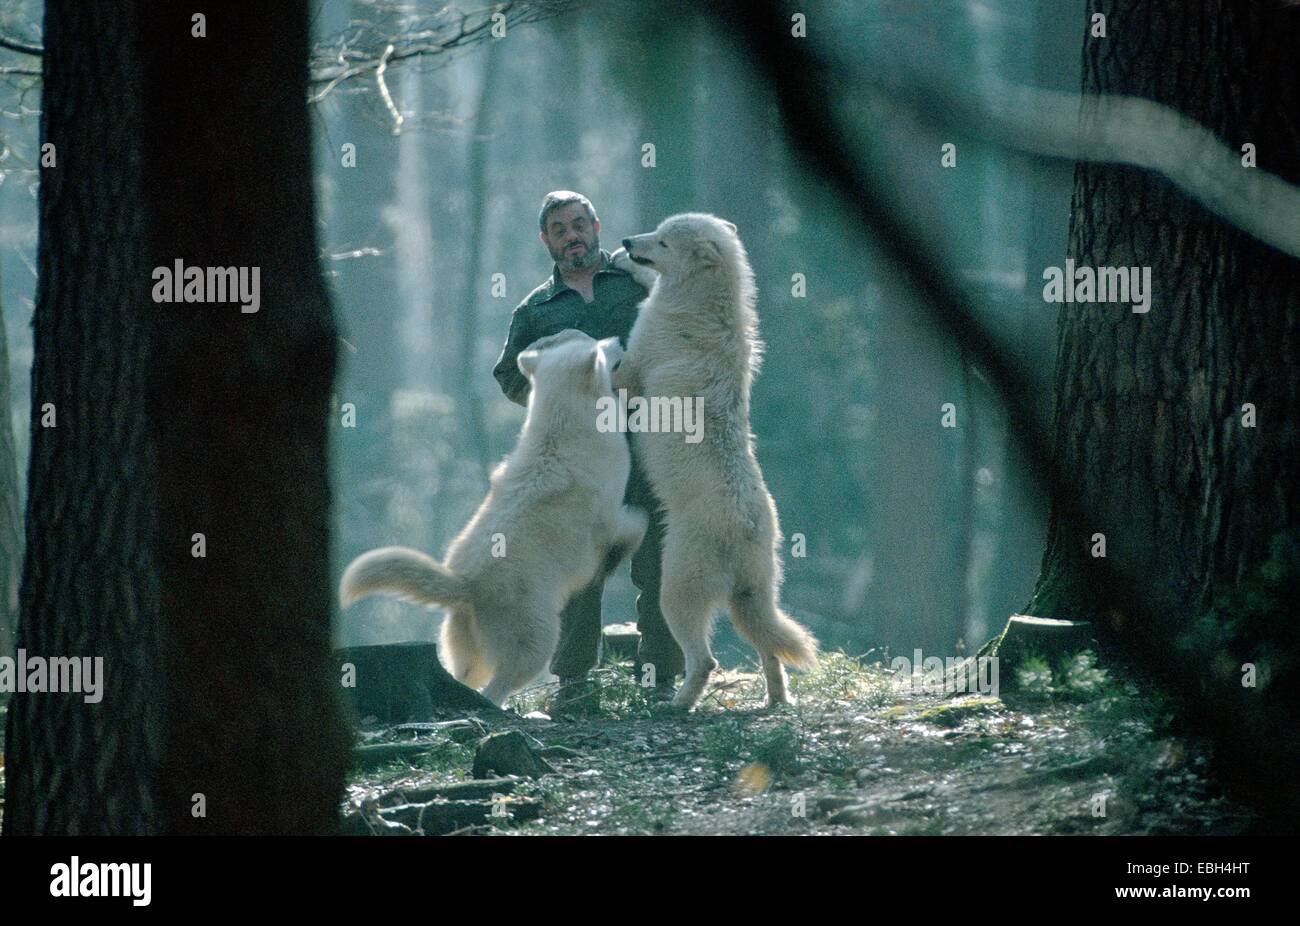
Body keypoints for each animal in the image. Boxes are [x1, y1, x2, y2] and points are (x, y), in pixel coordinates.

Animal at [335, 332, 639, 707]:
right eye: (598, 347)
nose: (617, 339)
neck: (564, 423)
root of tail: (464, 582)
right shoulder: (608, 519)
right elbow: (632, 526)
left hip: (467, 656)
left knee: (468, 682)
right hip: (538, 643)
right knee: (498, 688)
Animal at [611, 213, 816, 712]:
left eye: (663, 242)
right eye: (655, 232)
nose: (626, 240)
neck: (700, 304)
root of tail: (747, 523)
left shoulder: (632, 370)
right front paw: (625, 262)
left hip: (675, 592)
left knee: (705, 660)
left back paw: (678, 705)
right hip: (752, 602)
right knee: (771, 654)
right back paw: (775, 701)